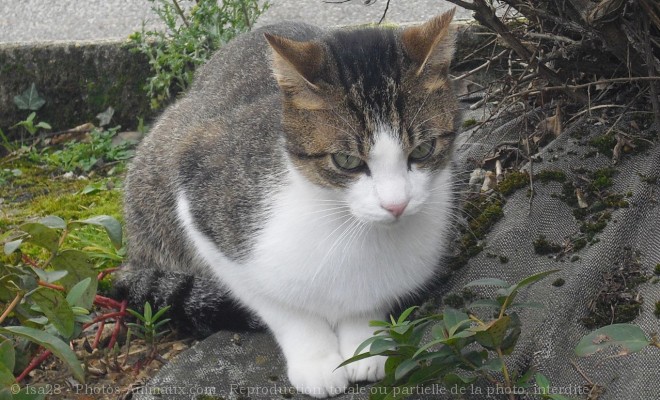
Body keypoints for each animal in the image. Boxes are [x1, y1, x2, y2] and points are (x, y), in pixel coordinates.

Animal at [117, 7, 458, 398]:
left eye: (423, 150)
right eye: (346, 160)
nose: (396, 205)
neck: (352, 228)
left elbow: (369, 300)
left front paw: (364, 346)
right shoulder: (202, 199)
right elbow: (282, 308)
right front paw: (316, 360)